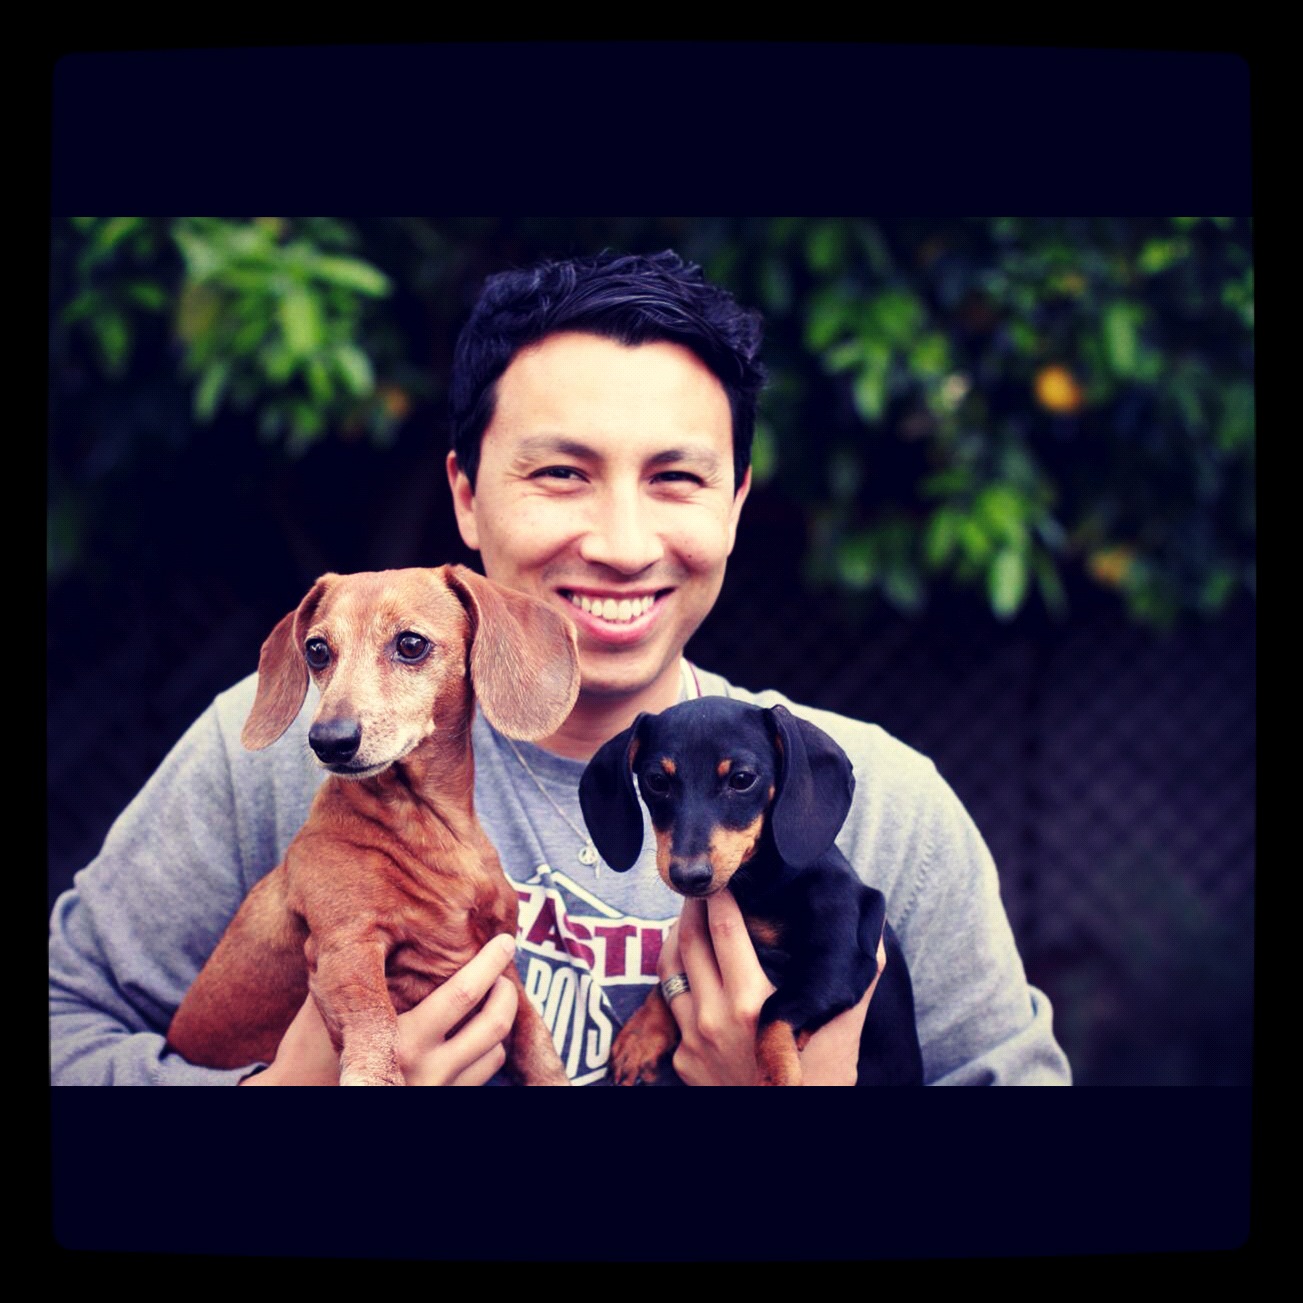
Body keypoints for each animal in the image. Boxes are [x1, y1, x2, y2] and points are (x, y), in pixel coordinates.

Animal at [166, 565, 576, 1085]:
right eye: (317, 650)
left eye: (411, 644)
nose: (328, 740)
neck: (427, 829)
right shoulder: (346, 949)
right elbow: (375, 1026)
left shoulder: (500, 959)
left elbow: (536, 1043)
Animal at [578, 697, 923, 1086]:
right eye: (656, 781)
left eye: (741, 779)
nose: (688, 877)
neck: (761, 885)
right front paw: (641, 1036)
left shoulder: (841, 959)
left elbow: (773, 1009)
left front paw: (775, 1073)